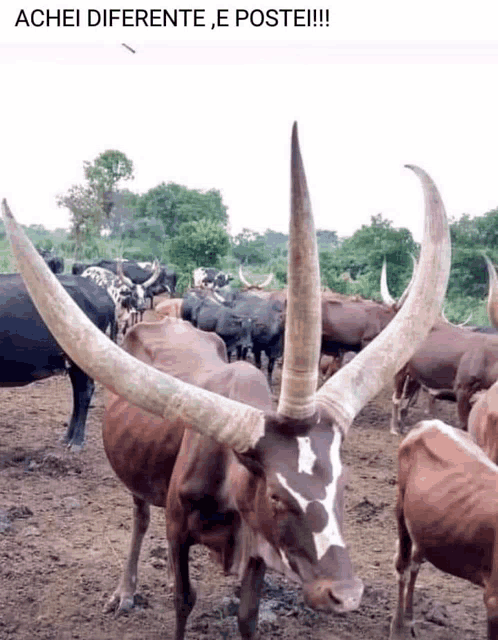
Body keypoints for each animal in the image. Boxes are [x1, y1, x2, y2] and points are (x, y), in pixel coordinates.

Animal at [392, 420, 498, 640]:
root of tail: (429, 423)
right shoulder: (493, 599)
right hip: (401, 506)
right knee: (403, 565)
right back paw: (397, 627)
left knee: (415, 562)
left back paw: (410, 618)